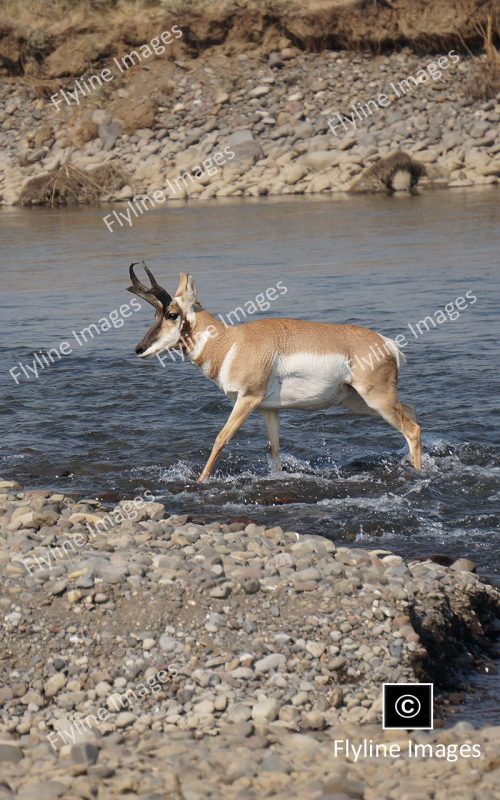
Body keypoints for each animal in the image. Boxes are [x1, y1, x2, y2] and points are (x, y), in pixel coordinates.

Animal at [127, 263, 422, 483]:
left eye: (172, 314)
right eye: (156, 314)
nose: (139, 348)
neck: (231, 341)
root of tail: (387, 343)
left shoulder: (248, 399)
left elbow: (221, 439)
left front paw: (200, 481)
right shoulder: (269, 409)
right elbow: (274, 449)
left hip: (376, 400)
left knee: (412, 428)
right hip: (359, 402)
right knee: (410, 412)